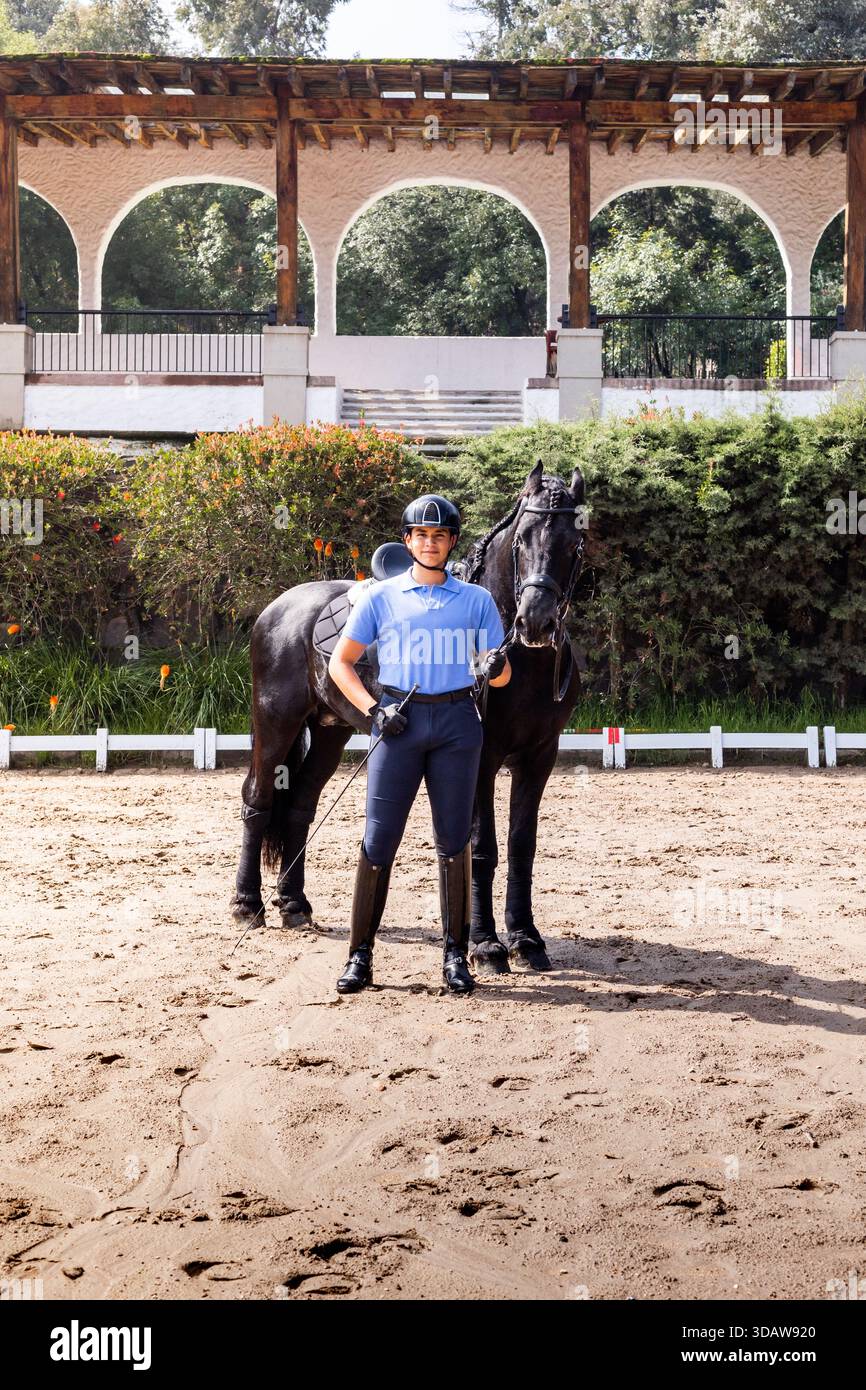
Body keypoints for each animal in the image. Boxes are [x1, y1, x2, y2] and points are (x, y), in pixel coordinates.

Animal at [230, 458, 586, 975]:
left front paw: (526, 939)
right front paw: (486, 946)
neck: (522, 663)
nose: (535, 622)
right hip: (276, 722)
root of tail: (281, 607)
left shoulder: (540, 757)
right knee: (257, 800)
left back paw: (294, 905)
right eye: (522, 538)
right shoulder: (482, 759)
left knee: (300, 804)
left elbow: (523, 846)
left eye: (573, 543)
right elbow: (482, 848)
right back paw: (247, 905)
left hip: (329, 731)